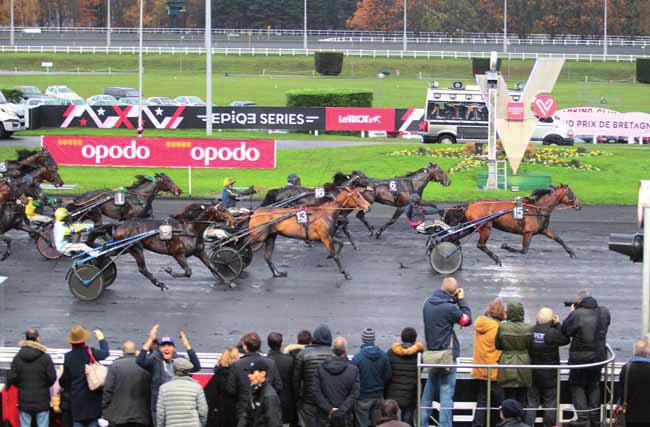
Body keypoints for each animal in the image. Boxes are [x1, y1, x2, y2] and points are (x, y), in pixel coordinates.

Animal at [105, 204, 237, 290]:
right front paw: (169, 271)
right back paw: (159, 283)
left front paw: (228, 282)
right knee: (142, 268)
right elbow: (188, 272)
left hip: (123, 248)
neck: (190, 230)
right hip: (135, 248)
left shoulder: (200, 252)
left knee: (107, 254)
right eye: (222, 210)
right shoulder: (178, 253)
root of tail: (120, 225)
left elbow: (213, 266)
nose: (234, 221)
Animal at [442, 185, 580, 266]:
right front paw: (506, 246)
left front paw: (571, 253)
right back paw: (497, 259)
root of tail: (470, 205)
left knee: (454, 237)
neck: (536, 209)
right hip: (485, 226)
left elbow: (558, 238)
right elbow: (524, 250)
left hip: (472, 227)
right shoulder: (528, 232)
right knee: (480, 245)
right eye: (571, 194)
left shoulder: (543, 230)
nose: (579, 205)